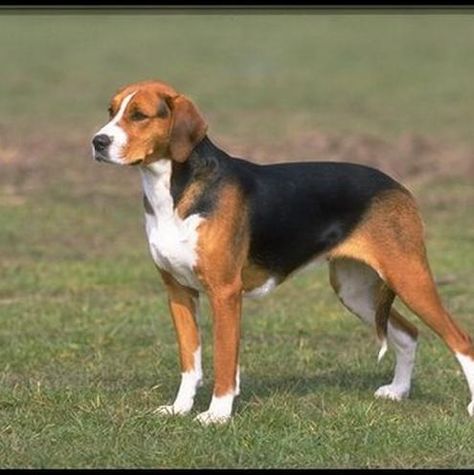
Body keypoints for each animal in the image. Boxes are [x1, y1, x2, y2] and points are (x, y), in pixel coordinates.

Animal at [90, 80, 472, 426]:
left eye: (139, 115)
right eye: (111, 111)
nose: (97, 142)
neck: (174, 189)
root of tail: (398, 185)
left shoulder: (225, 294)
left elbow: (224, 361)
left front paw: (216, 415)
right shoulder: (178, 292)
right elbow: (190, 361)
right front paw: (180, 408)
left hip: (408, 277)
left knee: (461, 340)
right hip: (355, 291)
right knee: (408, 334)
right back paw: (398, 391)